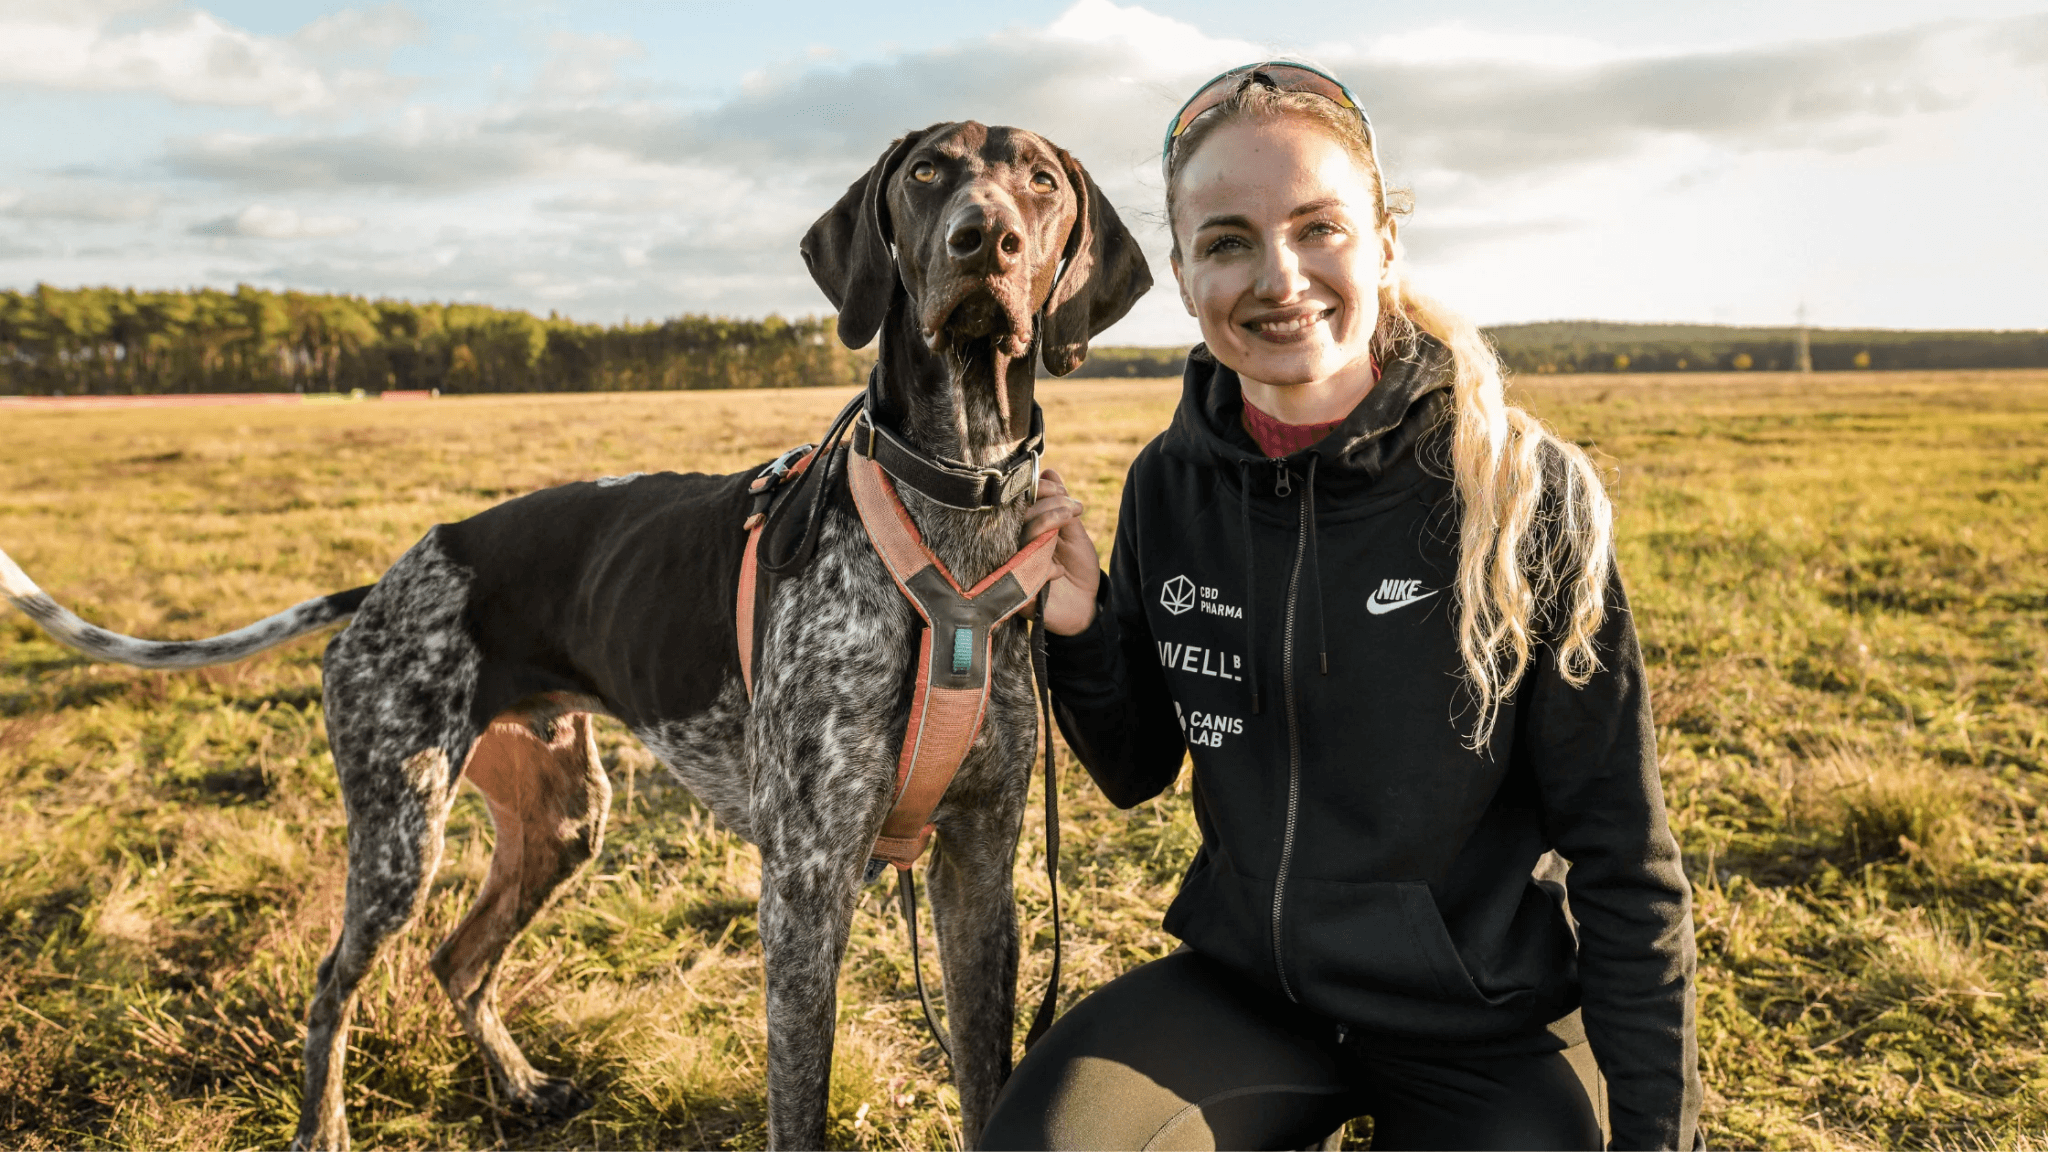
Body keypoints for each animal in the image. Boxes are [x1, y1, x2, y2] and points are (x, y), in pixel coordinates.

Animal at [0, 120, 1155, 1139]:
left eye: (1041, 182)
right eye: (925, 172)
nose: (984, 240)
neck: (954, 499)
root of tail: (384, 581)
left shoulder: (979, 868)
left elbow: (983, 1078)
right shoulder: (806, 885)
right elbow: (799, 1106)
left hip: (560, 818)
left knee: (457, 960)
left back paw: (516, 1086)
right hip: (401, 834)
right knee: (334, 988)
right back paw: (322, 1130)